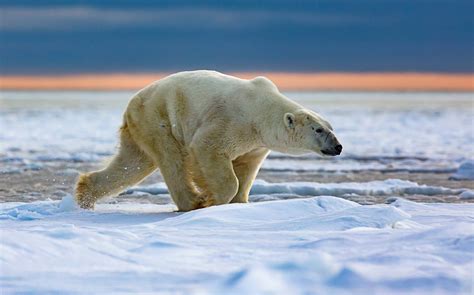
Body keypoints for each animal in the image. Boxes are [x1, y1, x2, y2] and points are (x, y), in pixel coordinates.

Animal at [74, 70, 342, 212]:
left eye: (331, 128)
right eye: (318, 130)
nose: (338, 147)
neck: (261, 108)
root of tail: (131, 103)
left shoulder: (256, 144)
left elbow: (247, 167)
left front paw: (240, 202)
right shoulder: (232, 121)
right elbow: (209, 150)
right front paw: (212, 200)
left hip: (139, 129)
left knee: (132, 163)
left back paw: (86, 197)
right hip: (158, 118)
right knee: (172, 159)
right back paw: (193, 202)